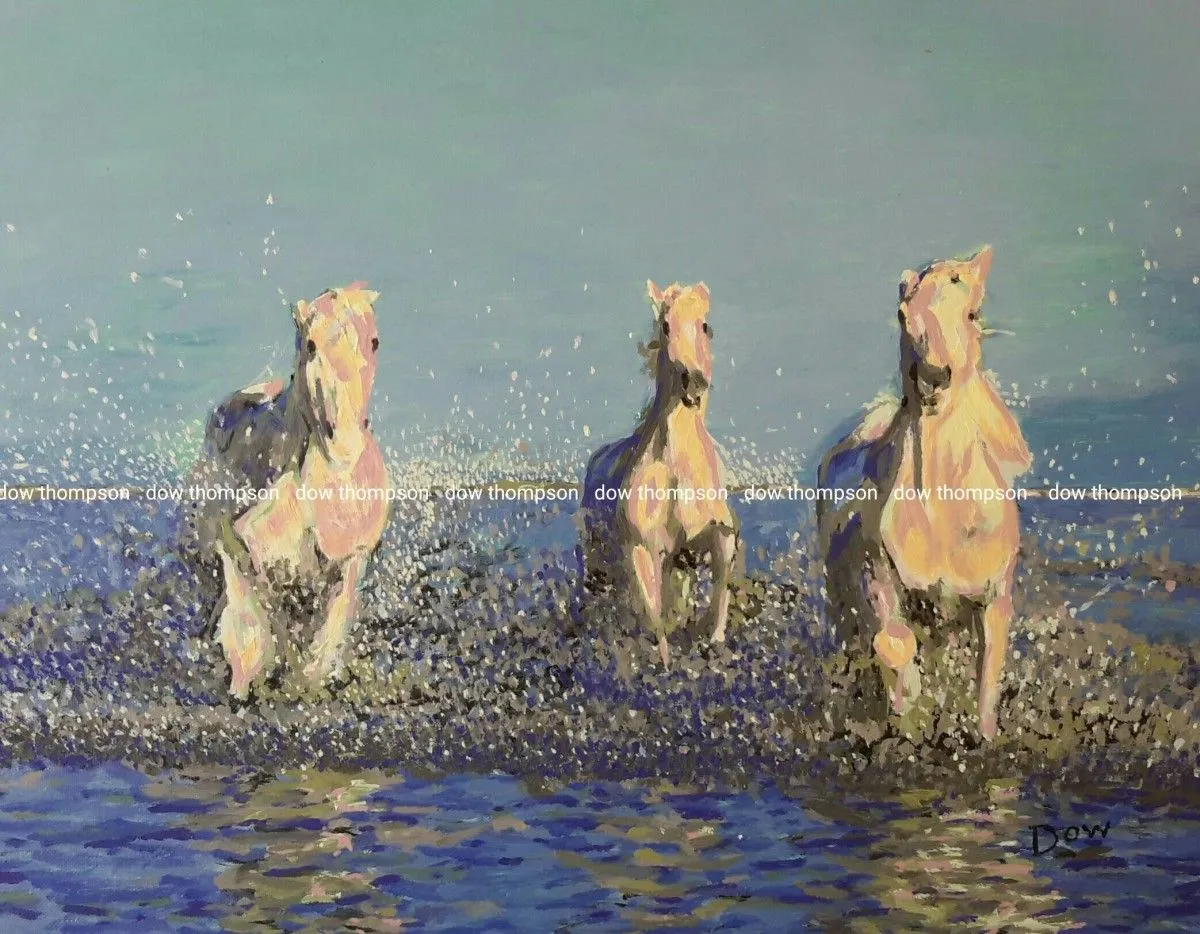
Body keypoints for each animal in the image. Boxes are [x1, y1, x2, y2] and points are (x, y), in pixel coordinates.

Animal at [187, 282, 390, 700]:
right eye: (310, 345)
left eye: (374, 341)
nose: (345, 449)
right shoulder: (254, 559)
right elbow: (262, 625)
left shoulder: (351, 557)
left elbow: (330, 627)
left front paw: (309, 681)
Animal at [579, 280, 742, 668]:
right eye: (666, 326)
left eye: (705, 326)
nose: (692, 382)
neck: (678, 468)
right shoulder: (643, 550)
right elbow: (656, 624)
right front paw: (666, 670)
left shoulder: (713, 536)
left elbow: (720, 586)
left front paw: (714, 642)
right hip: (598, 565)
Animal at [816, 246, 1032, 739]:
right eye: (902, 314)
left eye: (972, 313)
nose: (935, 377)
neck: (944, 520)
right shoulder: (880, 579)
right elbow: (895, 644)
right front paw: (908, 712)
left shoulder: (992, 602)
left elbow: (986, 686)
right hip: (840, 606)